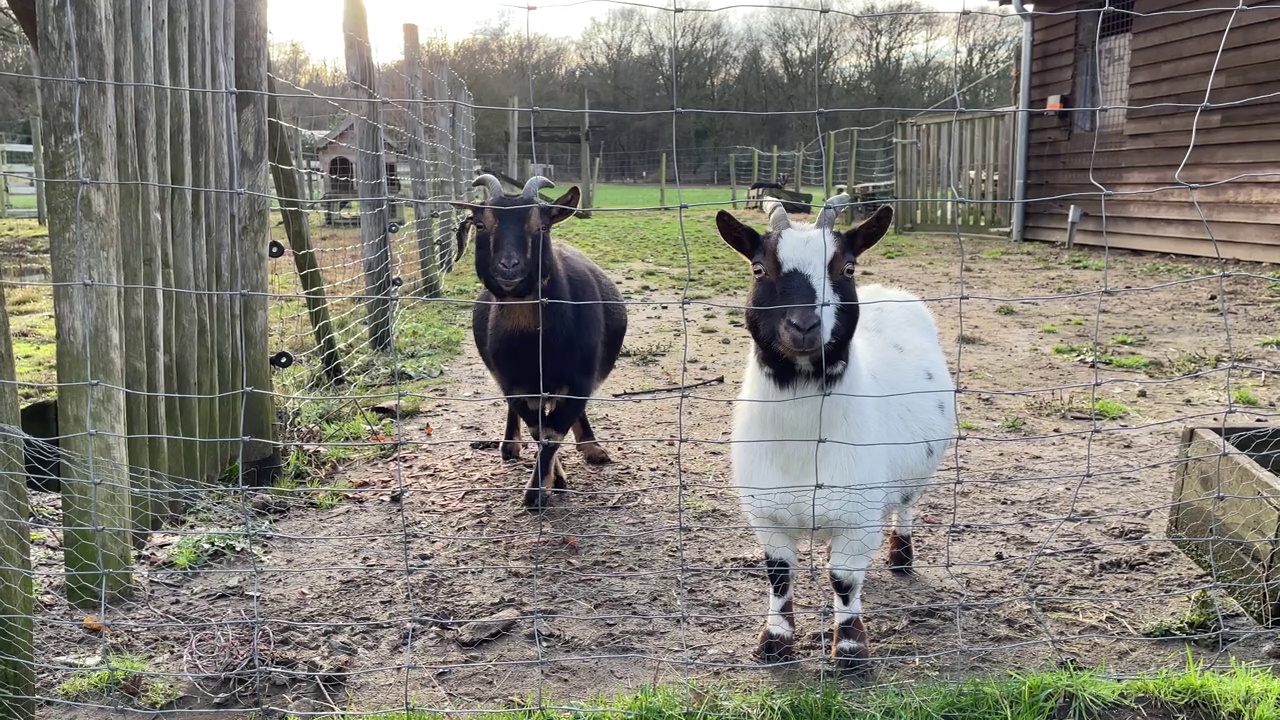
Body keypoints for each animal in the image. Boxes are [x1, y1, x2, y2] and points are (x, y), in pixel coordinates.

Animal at [453, 174, 627, 509]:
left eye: (542, 225)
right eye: (480, 224)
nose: (509, 266)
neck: (538, 346)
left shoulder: (580, 379)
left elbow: (553, 431)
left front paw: (539, 490)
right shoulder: (514, 383)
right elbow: (539, 430)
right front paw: (549, 484)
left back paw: (592, 447)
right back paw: (509, 446)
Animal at [716, 194, 957, 666]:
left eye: (846, 267)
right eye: (758, 268)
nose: (804, 326)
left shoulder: (857, 513)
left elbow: (843, 580)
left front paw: (849, 649)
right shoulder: (766, 513)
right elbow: (779, 574)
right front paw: (775, 641)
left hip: (912, 475)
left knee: (906, 506)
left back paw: (901, 556)